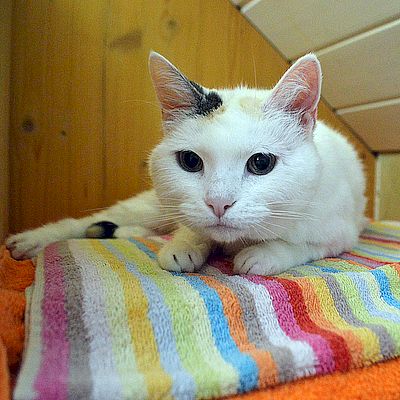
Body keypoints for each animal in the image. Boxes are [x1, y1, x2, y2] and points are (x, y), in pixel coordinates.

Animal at [6, 51, 367, 276]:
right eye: (190, 161)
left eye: (261, 163)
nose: (219, 203)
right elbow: (192, 228)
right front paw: (185, 244)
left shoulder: (342, 232)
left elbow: (302, 245)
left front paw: (263, 254)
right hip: (153, 205)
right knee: (98, 220)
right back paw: (33, 239)